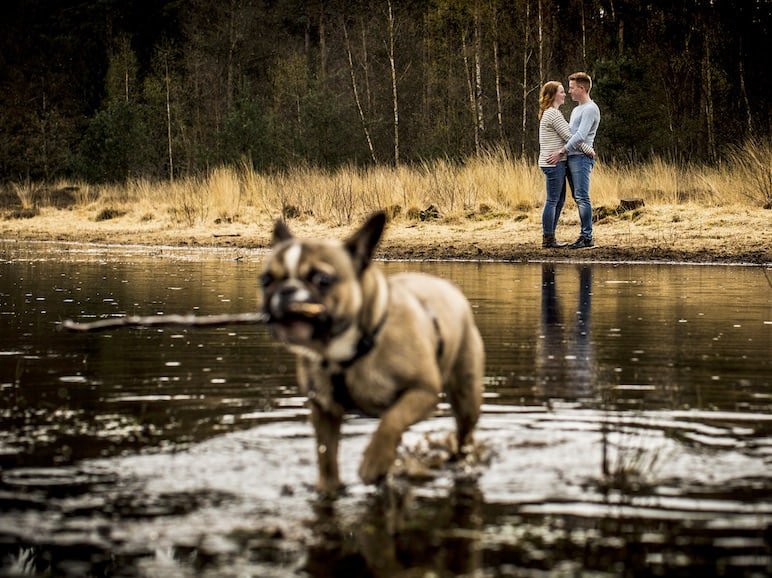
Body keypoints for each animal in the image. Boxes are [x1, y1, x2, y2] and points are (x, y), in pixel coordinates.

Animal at [262, 210, 486, 490]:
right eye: (265, 279)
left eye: (323, 280)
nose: (287, 290)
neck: (345, 350)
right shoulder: (324, 409)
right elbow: (326, 454)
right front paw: (328, 488)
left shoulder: (422, 391)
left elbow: (392, 421)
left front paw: (373, 463)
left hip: (466, 394)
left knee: (464, 432)